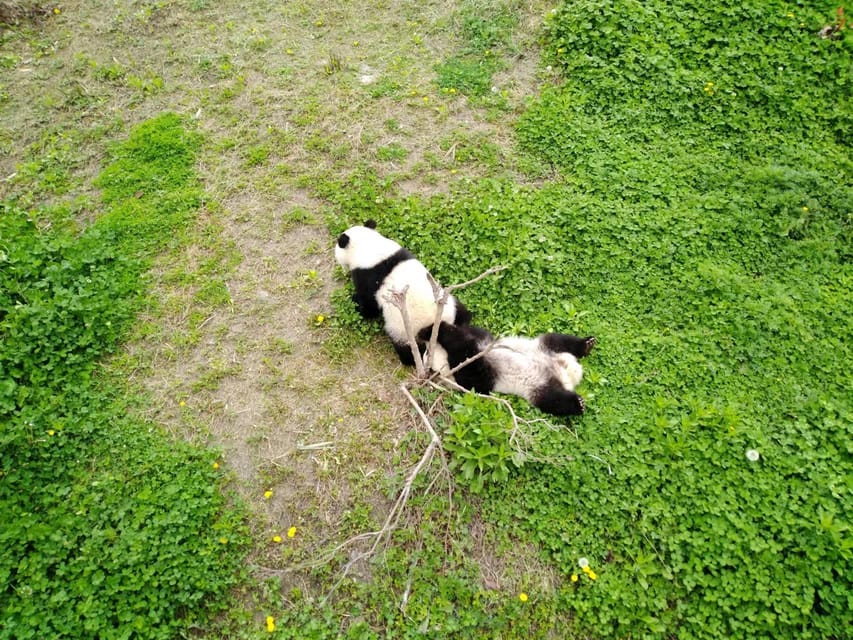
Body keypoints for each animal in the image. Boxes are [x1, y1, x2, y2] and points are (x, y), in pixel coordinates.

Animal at [334, 220, 472, 364]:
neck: (370, 249)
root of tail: (434, 330)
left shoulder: (368, 276)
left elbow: (369, 305)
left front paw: (355, 303)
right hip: (447, 303)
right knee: (462, 314)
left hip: (403, 331)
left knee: (408, 349)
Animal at [422, 322, 596, 418]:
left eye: (426, 353)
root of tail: (567, 373)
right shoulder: (476, 376)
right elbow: (468, 364)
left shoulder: (484, 339)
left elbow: (467, 335)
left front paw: (433, 330)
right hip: (539, 388)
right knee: (554, 401)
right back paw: (578, 403)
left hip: (542, 346)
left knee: (559, 340)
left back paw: (586, 344)